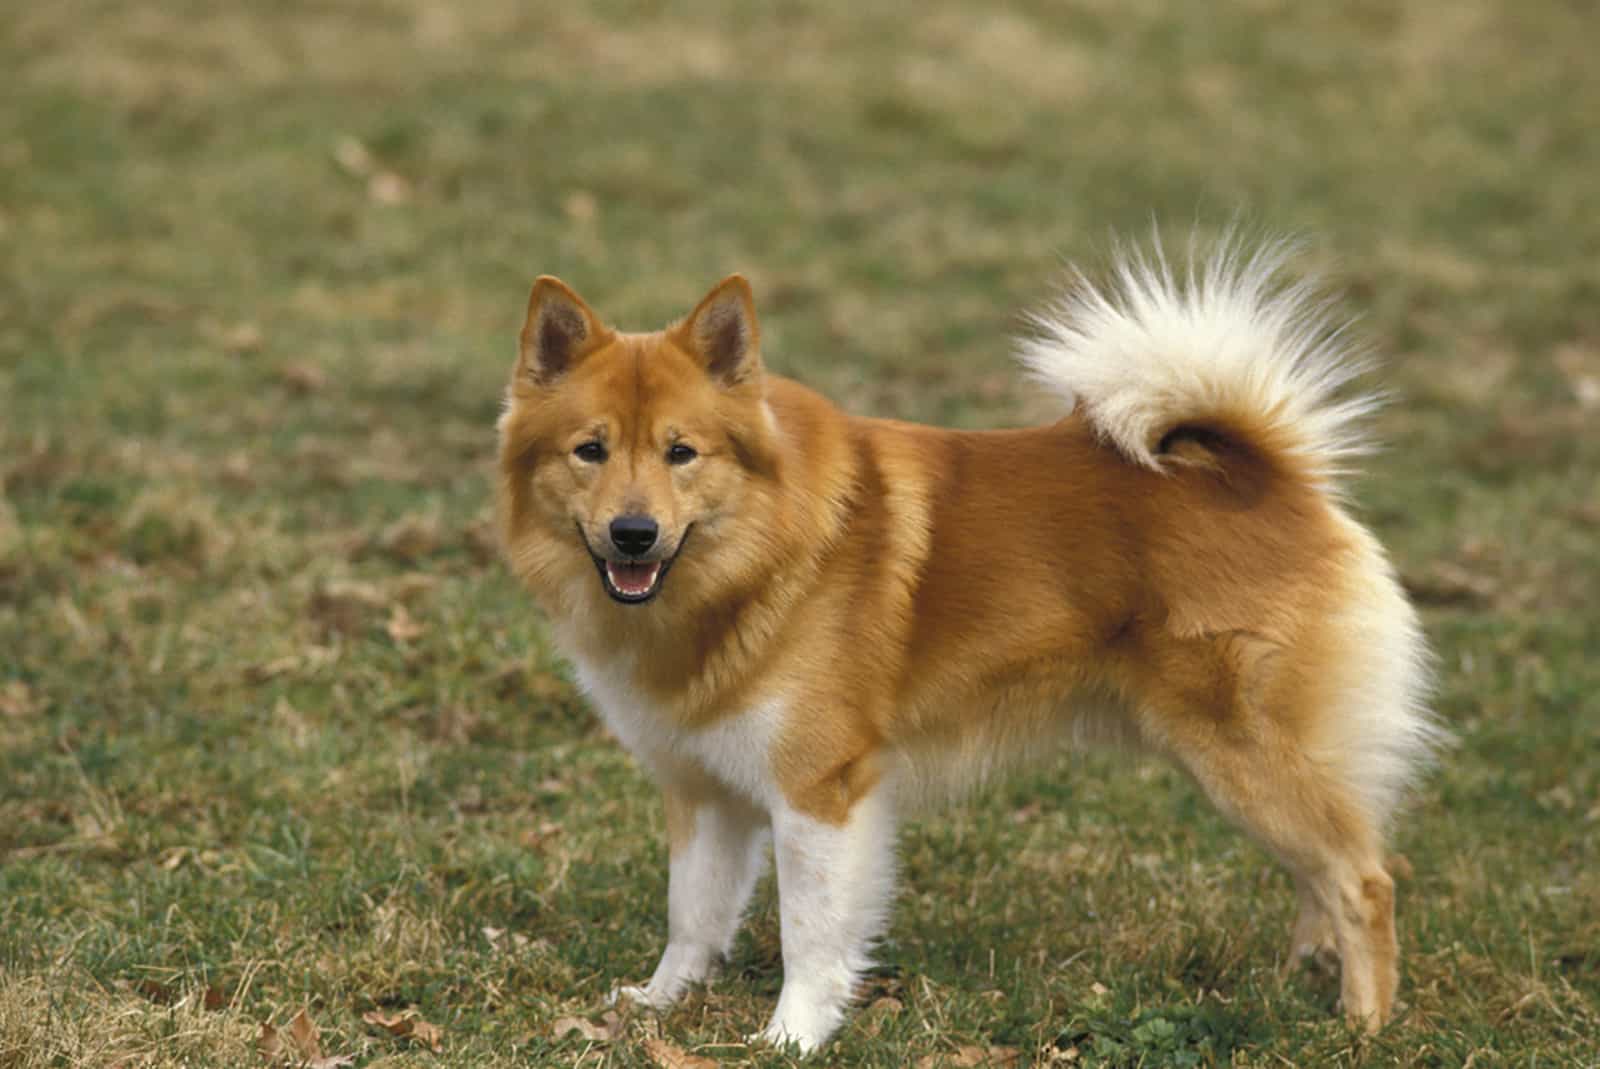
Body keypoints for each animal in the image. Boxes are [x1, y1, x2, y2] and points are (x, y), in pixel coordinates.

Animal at [492, 241, 1446, 1049]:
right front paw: (661, 1002)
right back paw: (1303, 974)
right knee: (1324, 868)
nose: (634, 533)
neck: (750, 564)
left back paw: (1362, 1023)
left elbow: (810, 930)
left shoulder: (820, 790)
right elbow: (692, 913)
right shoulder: (705, 789)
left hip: (1245, 752)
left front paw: (792, 1035)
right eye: (590, 450)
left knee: (1363, 878)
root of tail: (1276, 477)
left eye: (682, 452)